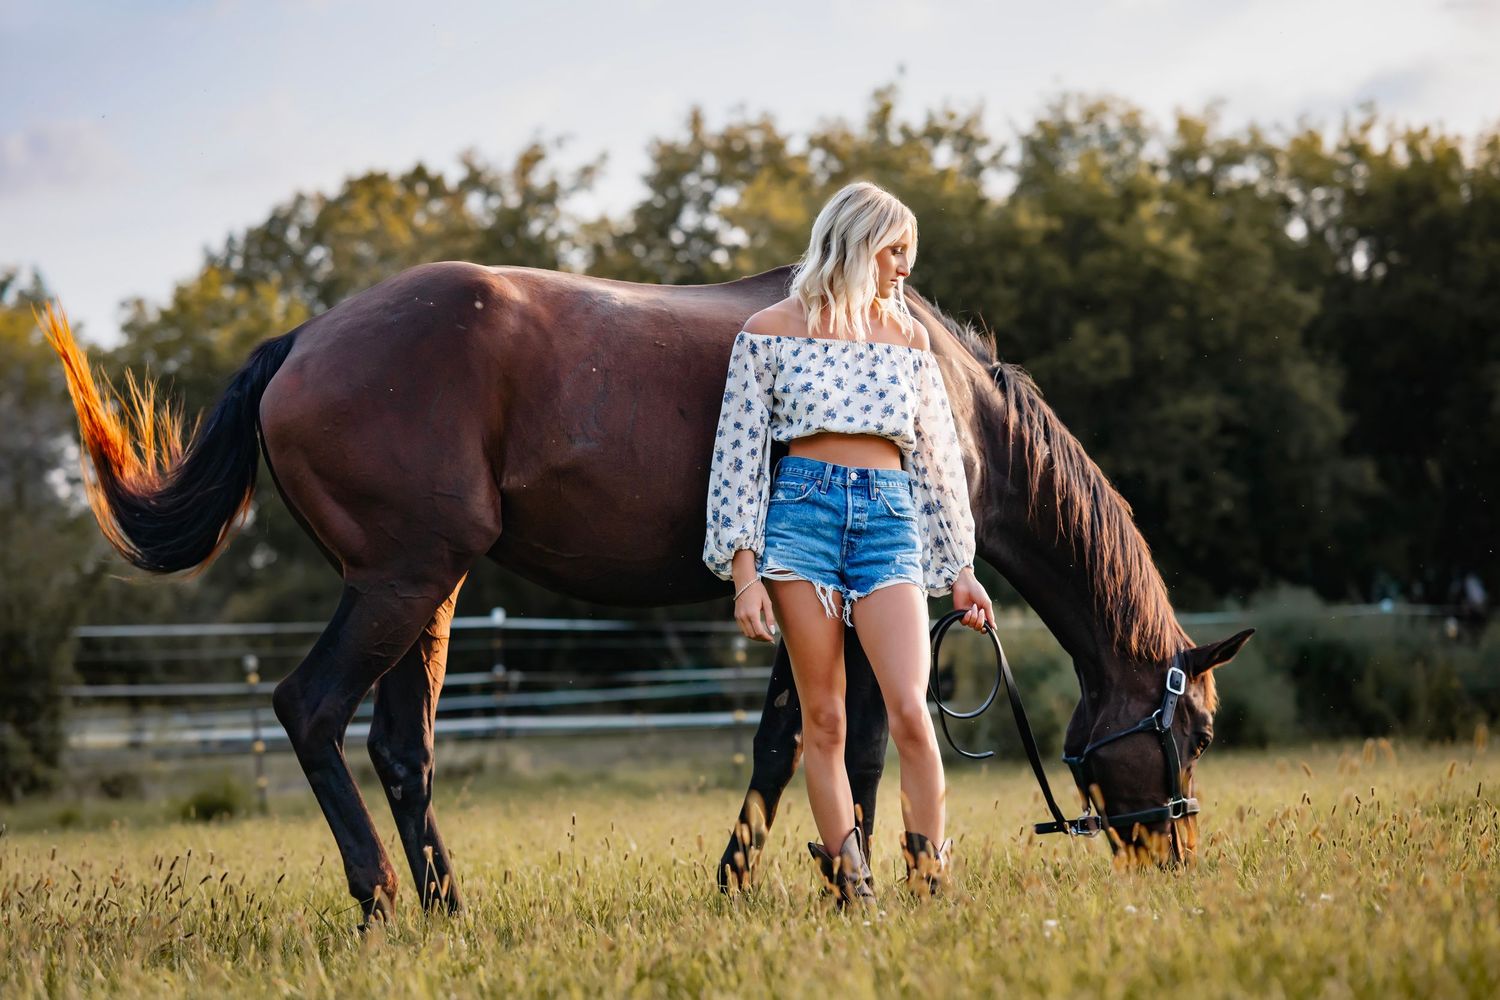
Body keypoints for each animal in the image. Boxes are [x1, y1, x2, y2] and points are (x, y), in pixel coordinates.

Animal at [42, 261, 1251, 924]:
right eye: (1187, 731)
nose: (1175, 853)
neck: (946, 393)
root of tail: (300, 343)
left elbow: (784, 744)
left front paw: (756, 876)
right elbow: (858, 745)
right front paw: (853, 874)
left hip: (426, 595)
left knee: (398, 748)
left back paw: (445, 906)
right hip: (401, 582)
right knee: (311, 711)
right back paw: (382, 897)